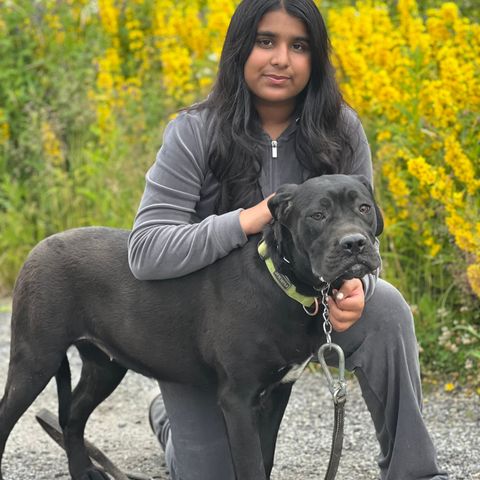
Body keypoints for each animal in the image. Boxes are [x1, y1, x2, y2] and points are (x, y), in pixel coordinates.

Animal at [0, 174, 382, 480]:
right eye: (318, 215)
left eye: (364, 208)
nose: (354, 244)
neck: (282, 280)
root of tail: (39, 247)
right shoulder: (238, 400)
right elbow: (250, 466)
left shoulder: (278, 392)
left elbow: (266, 458)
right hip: (35, 360)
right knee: (8, 417)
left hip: (105, 366)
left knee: (72, 418)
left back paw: (83, 471)